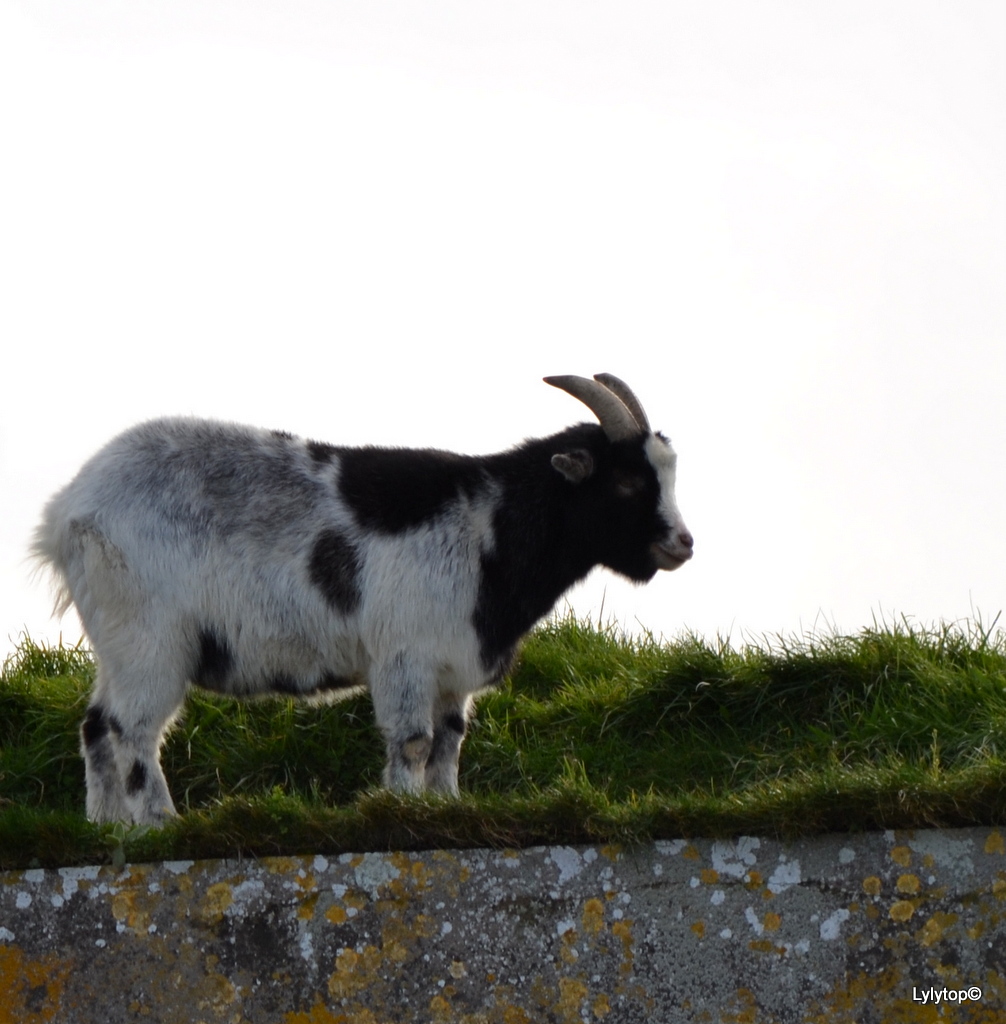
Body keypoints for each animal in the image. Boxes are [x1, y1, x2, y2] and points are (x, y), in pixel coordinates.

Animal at [31, 376, 692, 823]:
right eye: (626, 480)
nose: (682, 543)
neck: (488, 527)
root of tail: (67, 511)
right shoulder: (405, 656)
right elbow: (414, 741)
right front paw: (402, 808)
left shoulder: (451, 669)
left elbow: (449, 742)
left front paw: (446, 807)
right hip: (151, 640)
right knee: (135, 731)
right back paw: (160, 823)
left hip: (117, 643)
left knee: (97, 726)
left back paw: (107, 826)